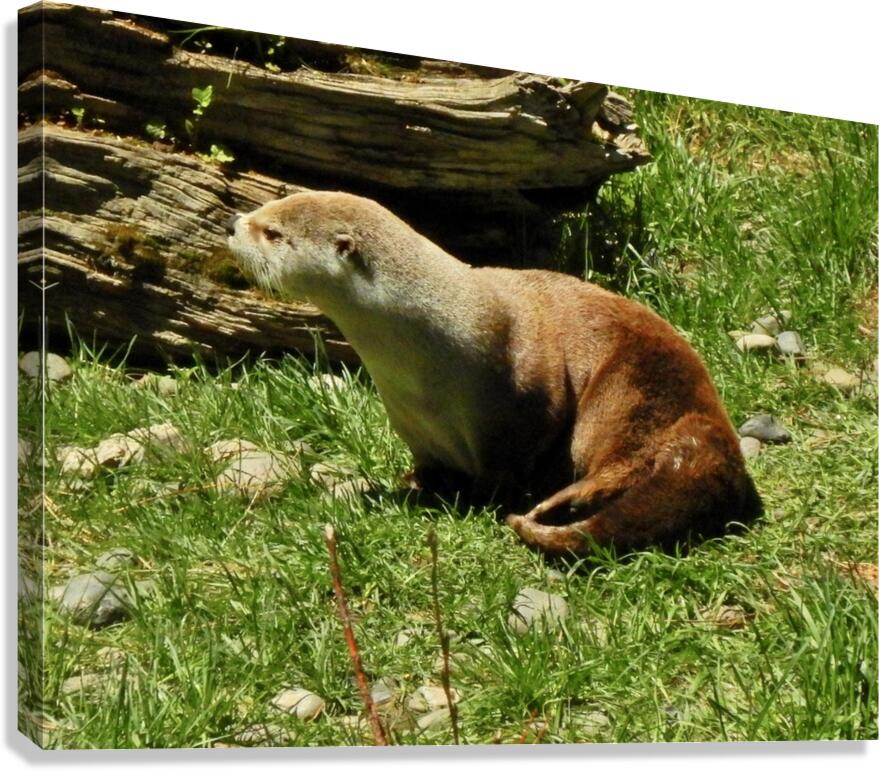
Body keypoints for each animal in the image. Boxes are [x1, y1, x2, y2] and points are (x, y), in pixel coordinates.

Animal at [226, 191, 761, 555]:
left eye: (273, 232)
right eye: (267, 206)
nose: (233, 222)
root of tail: (709, 438)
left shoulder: (525, 393)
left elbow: (514, 456)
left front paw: (485, 497)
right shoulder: (410, 422)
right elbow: (427, 466)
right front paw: (410, 484)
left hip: (632, 390)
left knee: (621, 462)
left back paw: (550, 506)